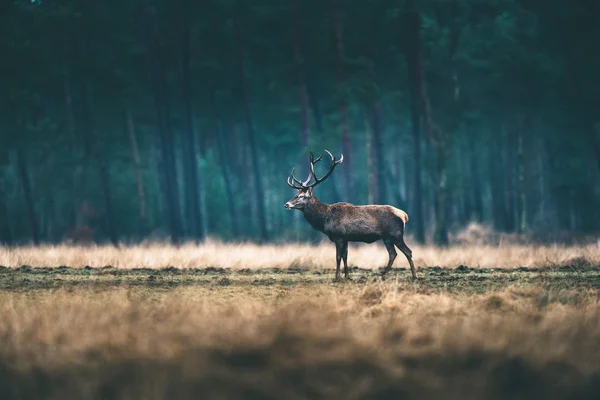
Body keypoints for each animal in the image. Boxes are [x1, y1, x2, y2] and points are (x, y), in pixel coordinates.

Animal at [284, 150, 414, 282]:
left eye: (301, 196)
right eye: (296, 194)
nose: (286, 204)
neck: (325, 219)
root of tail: (404, 215)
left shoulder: (338, 236)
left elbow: (338, 257)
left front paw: (337, 277)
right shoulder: (346, 238)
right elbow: (345, 257)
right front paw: (346, 276)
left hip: (396, 234)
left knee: (408, 251)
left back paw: (413, 276)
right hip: (387, 237)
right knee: (393, 254)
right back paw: (383, 276)